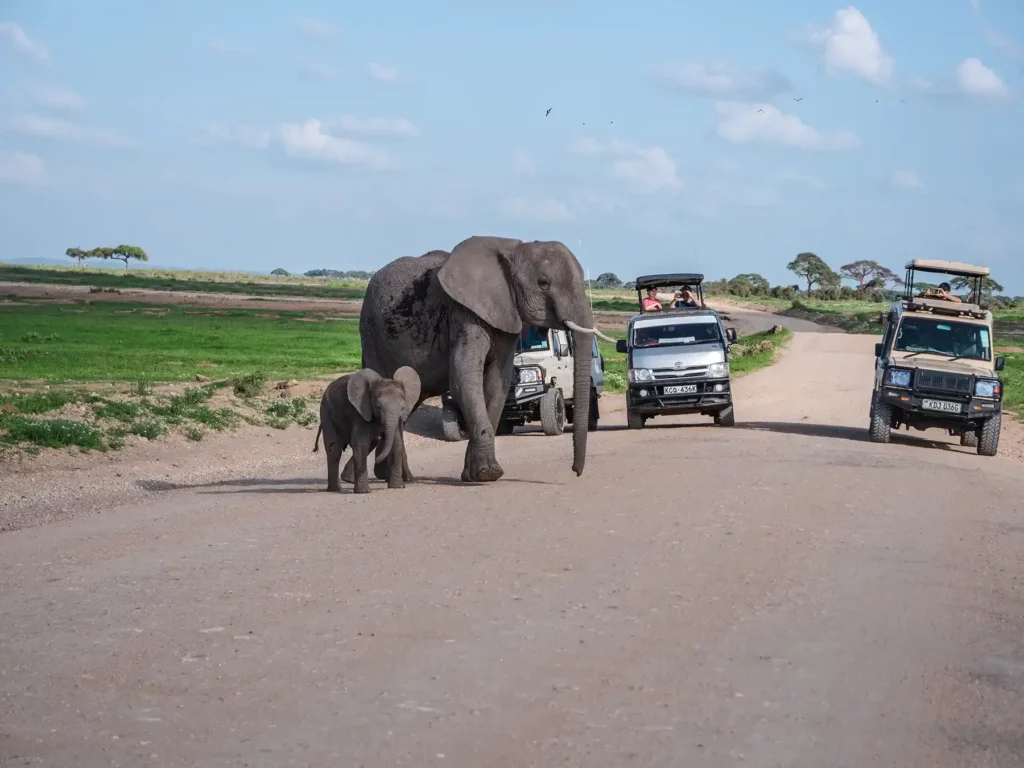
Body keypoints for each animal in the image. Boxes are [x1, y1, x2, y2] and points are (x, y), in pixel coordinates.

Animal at [342, 235, 612, 484]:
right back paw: (371, 477)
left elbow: (495, 384)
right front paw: (488, 474)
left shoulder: (506, 317)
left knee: (405, 405)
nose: (575, 472)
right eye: (543, 283)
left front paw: (472, 476)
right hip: (372, 334)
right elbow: (465, 380)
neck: (513, 248)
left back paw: (386, 476)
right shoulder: (463, 314)